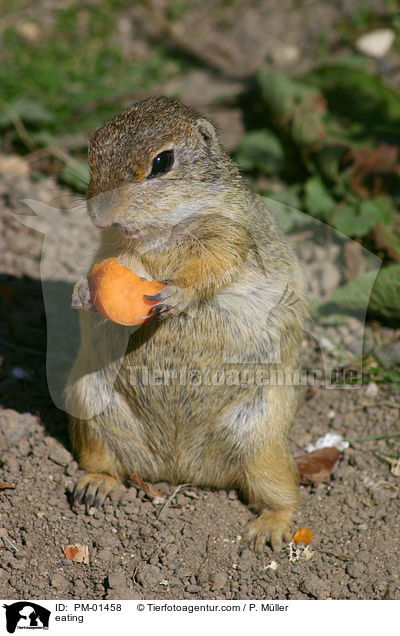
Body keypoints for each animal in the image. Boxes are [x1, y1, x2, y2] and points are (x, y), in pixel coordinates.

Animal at [65, 95, 308, 552]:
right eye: (92, 149)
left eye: (163, 161)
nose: (100, 216)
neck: (157, 233)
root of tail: (180, 468)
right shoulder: (115, 250)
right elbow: (107, 268)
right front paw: (83, 292)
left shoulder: (228, 235)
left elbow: (212, 266)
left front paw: (174, 295)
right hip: (91, 413)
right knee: (105, 463)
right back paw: (96, 486)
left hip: (263, 444)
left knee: (285, 496)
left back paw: (268, 528)